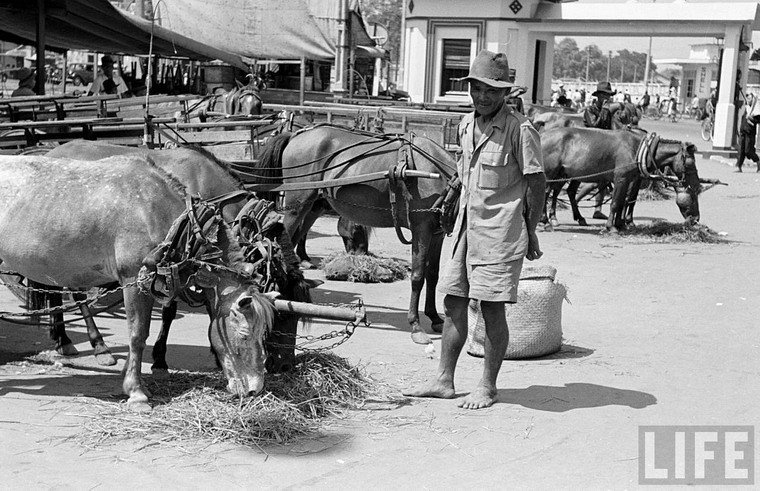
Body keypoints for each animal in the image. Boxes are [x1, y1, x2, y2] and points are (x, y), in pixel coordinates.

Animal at [0, 155, 276, 412]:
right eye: (244, 334)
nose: (255, 390)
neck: (157, 212)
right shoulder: (133, 280)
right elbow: (137, 334)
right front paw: (136, 392)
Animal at [43, 140, 316, 374]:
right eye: (280, 314)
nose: (285, 365)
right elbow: (171, 310)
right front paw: (161, 358)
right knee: (75, 295)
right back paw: (95, 345)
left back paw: (61, 337)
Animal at [255, 124, 458, 346]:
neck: (442, 177)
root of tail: (295, 135)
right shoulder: (421, 230)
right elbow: (418, 277)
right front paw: (415, 325)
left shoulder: (436, 234)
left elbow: (433, 275)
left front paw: (435, 317)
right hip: (297, 206)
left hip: (312, 206)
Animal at [540, 129, 700, 233]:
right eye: (690, 164)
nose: (696, 219)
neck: (638, 149)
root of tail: (541, 134)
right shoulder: (621, 178)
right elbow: (616, 202)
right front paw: (611, 227)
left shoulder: (629, 179)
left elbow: (623, 201)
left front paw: (620, 224)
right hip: (551, 173)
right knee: (547, 193)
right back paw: (547, 221)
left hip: (565, 173)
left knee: (563, 192)